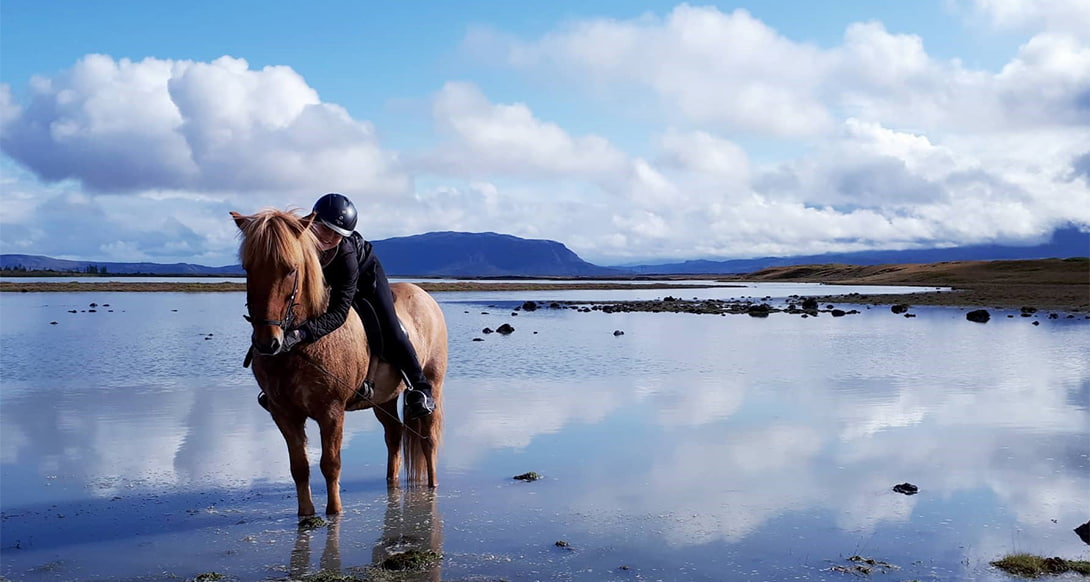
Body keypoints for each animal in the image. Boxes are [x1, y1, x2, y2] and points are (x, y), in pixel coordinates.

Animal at [231, 208, 448, 518]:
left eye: (291, 269)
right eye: (248, 268)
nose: (267, 343)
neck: (301, 345)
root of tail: (425, 296)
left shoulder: (331, 411)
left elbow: (330, 464)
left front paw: (334, 513)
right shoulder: (284, 413)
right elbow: (300, 467)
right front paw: (306, 515)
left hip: (432, 384)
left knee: (428, 439)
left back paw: (431, 486)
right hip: (383, 399)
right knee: (393, 436)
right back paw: (391, 483)